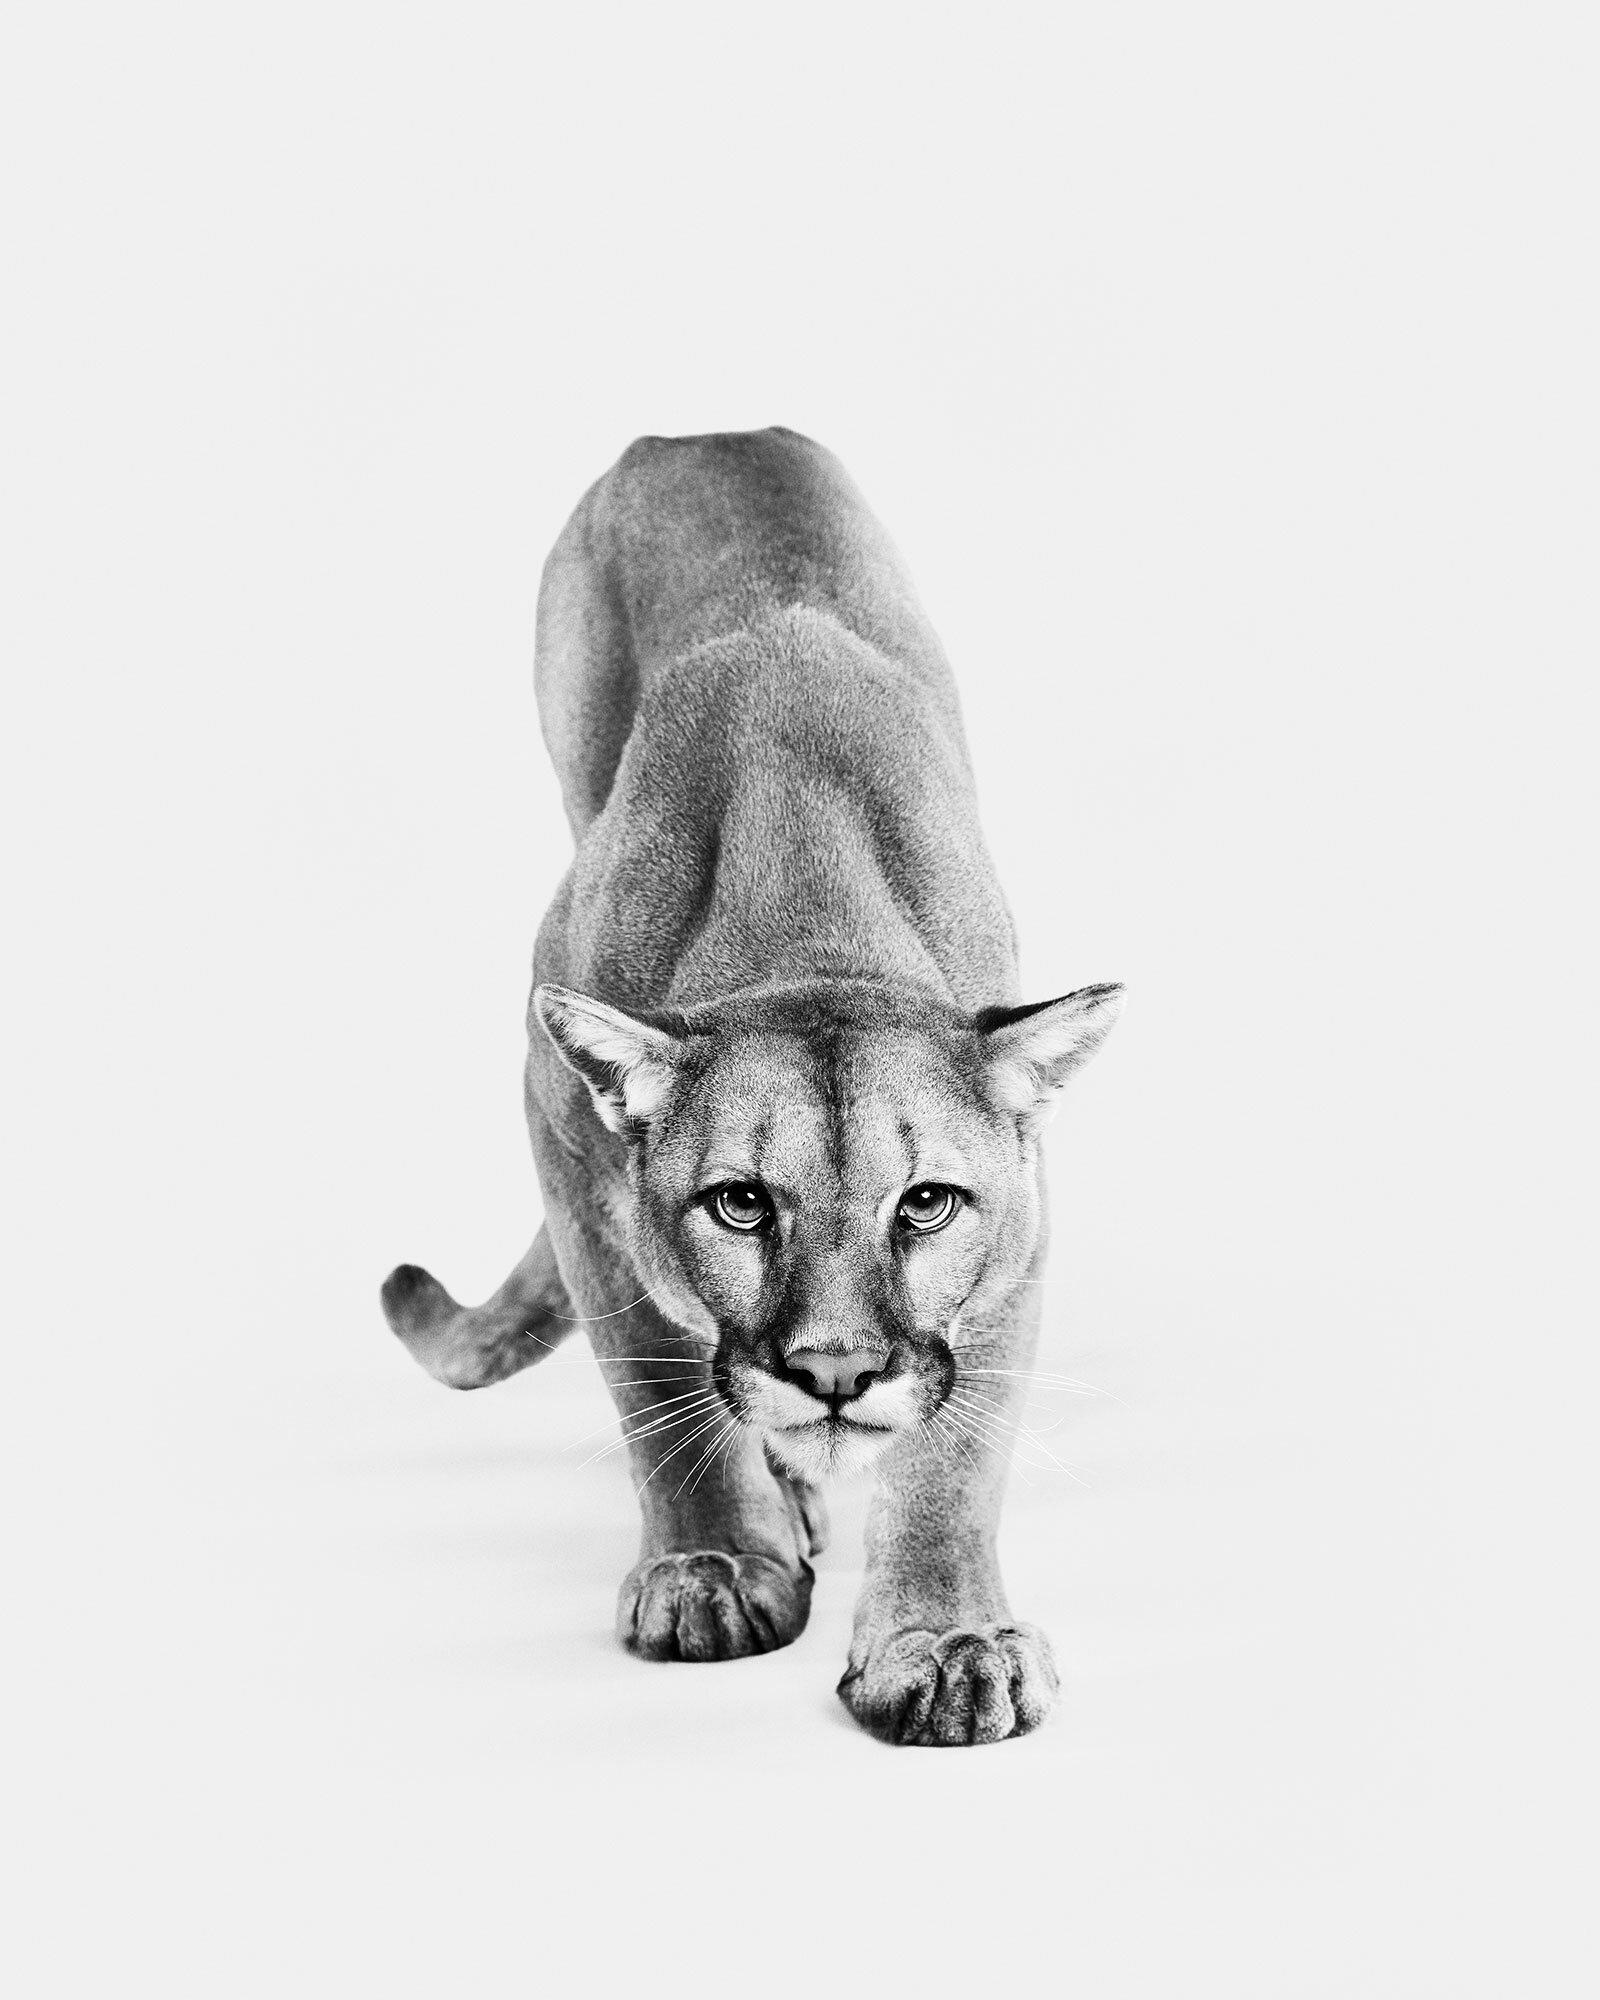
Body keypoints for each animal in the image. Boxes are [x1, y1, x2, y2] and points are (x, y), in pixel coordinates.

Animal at [381, 428, 1123, 1745]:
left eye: (925, 1202)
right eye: (740, 1202)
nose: (832, 1375)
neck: (805, 910)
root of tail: (697, 428)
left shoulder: (1023, 1218)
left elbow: (958, 1440)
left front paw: (946, 1641)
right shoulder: (564, 1135)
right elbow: (650, 1371)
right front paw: (714, 1566)